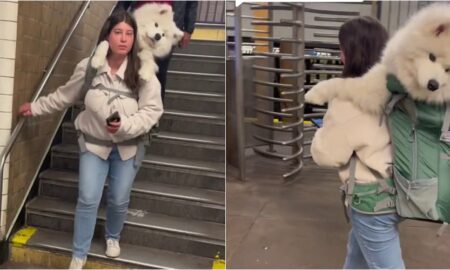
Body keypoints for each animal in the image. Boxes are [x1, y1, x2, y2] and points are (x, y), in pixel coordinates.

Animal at [304, 3, 450, 115]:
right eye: (432, 57)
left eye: (448, 70)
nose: (433, 85)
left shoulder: (368, 91)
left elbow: (339, 82)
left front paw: (313, 94)